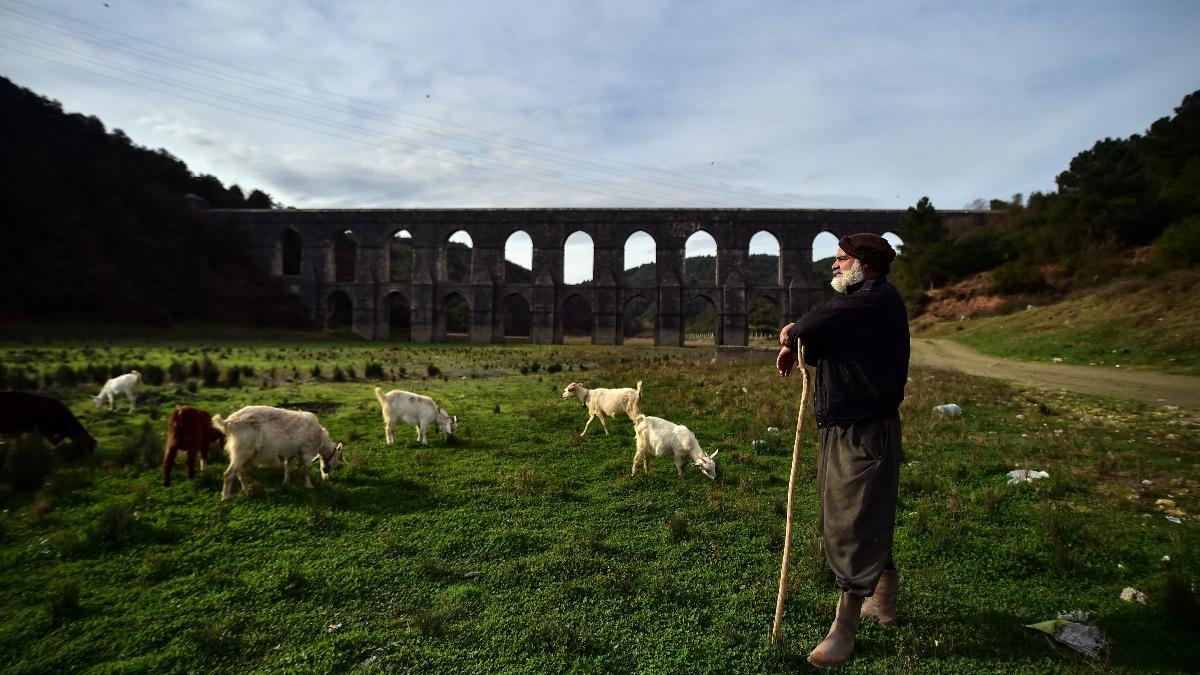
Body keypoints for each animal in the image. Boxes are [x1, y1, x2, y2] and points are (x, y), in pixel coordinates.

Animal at [210, 403, 343, 499]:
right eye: (337, 459)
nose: (327, 478)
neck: (321, 439)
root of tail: (228, 422)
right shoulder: (307, 452)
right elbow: (306, 469)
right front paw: (309, 486)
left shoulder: (291, 453)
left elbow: (288, 468)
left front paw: (285, 484)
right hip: (242, 451)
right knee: (229, 474)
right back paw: (226, 497)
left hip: (243, 454)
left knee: (241, 472)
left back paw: (247, 491)